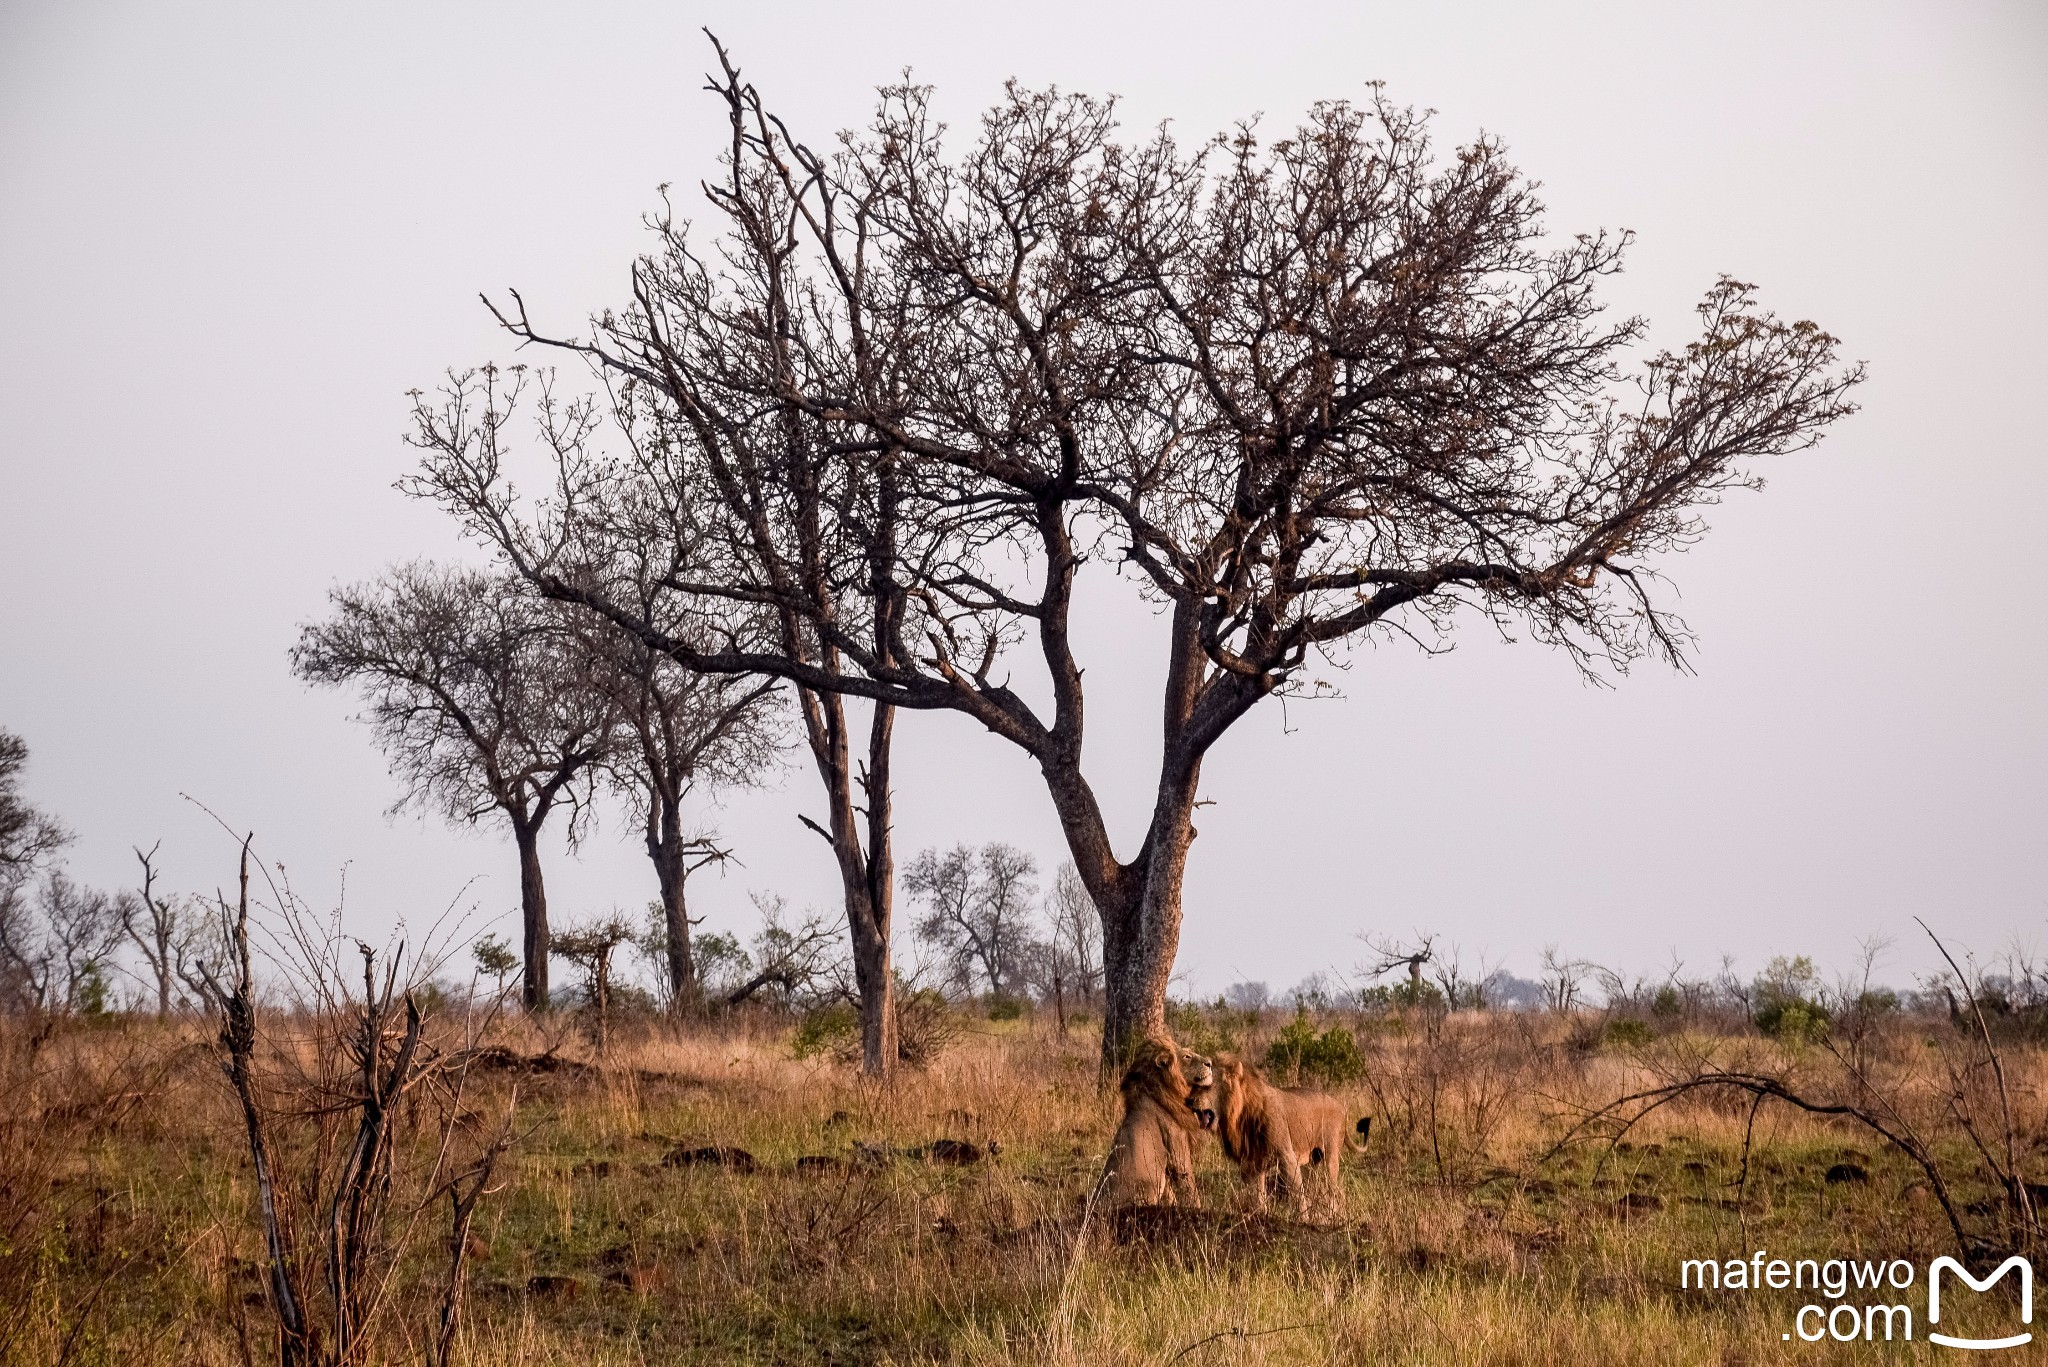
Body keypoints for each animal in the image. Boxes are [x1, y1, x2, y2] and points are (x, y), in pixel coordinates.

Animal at [1105, 1037, 1212, 1205]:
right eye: (1187, 1056)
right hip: (1147, 1186)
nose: (1210, 1063)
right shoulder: (1177, 1152)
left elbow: (1169, 1193)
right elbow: (1190, 1189)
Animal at [1196, 1049, 1368, 1221]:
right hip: (1313, 1160)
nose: (1191, 1102)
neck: (1239, 1115)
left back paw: (1333, 1217)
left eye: (1208, 1086)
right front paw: (1259, 1215)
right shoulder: (1251, 1162)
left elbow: (1297, 1192)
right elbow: (1257, 1194)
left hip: (1329, 1155)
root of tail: (1342, 1108)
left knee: (1334, 1190)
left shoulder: (1287, 1156)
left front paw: (1303, 1220)